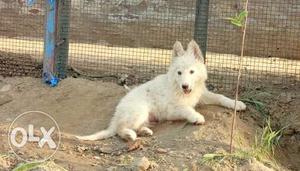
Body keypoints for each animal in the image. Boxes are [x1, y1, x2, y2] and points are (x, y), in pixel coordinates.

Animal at [77, 40, 246, 142]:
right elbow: (186, 108)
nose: (185, 86)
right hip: (139, 110)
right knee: (120, 129)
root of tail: (117, 114)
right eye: (179, 73)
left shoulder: (201, 94)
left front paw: (236, 103)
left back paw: (144, 131)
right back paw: (130, 134)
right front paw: (196, 116)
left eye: (191, 72)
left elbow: (220, 96)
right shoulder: (171, 109)